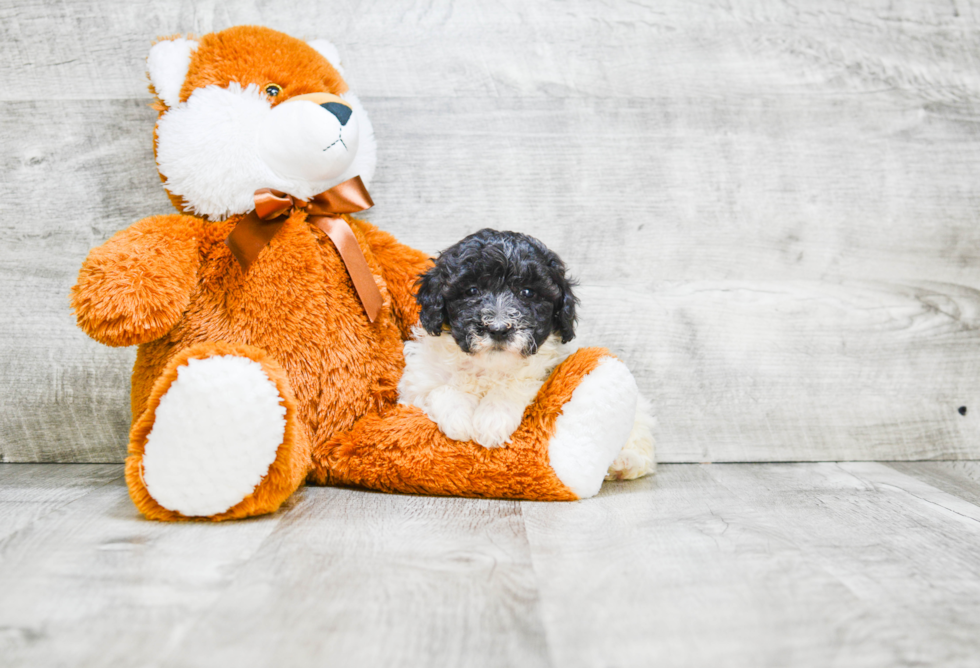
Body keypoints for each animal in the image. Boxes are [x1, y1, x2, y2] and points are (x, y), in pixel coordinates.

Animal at [398, 230, 660, 480]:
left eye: (527, 292)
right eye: (472, 290)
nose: (498, 329)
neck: (490, 366)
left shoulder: (546, 372)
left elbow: (517, 385)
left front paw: (493, 420)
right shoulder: (416, 384)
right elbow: (438, 389)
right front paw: (458, 417)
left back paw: (624, 462)